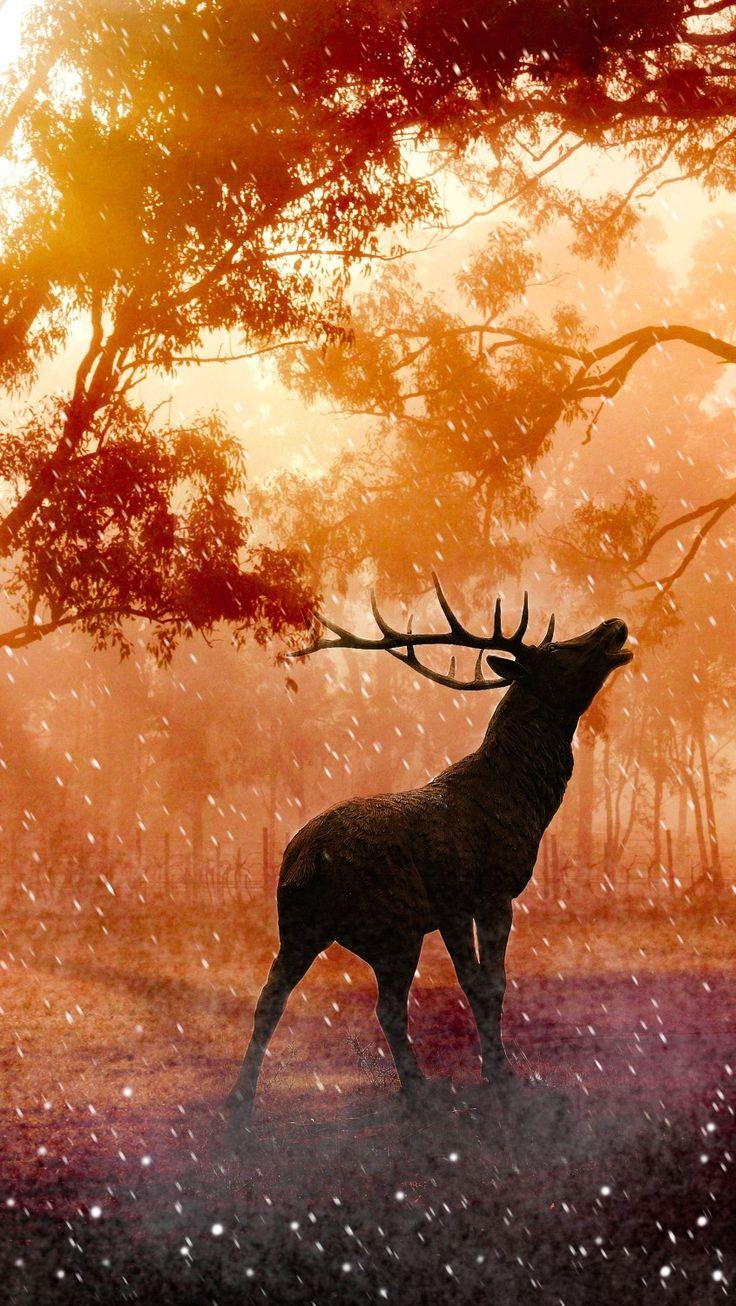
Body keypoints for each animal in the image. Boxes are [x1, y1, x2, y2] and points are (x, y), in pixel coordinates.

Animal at [224, 577, 633, 1130]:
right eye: (556, 651)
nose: (616, 624)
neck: (525, 799)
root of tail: (304, 861)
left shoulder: (455, 908)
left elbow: (478, 983)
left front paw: (491, 1070)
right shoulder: (484, 891)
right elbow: (489, 984)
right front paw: (501, 1077)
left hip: (298, 925)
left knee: (272, 997)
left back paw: (240, 1098)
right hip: (393, 925)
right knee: (388, 1007)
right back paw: (419, 1087)